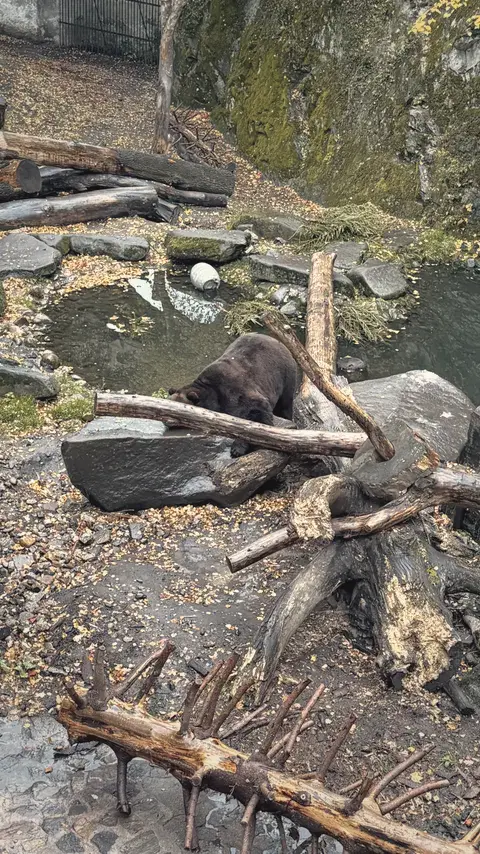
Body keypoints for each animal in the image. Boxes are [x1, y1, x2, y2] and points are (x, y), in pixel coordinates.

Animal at [168, 333, 298, 457]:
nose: (168, 422)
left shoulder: (235, 390)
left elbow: (255, 411)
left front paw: (237, 449)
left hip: (284, 376)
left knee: (284, 405)